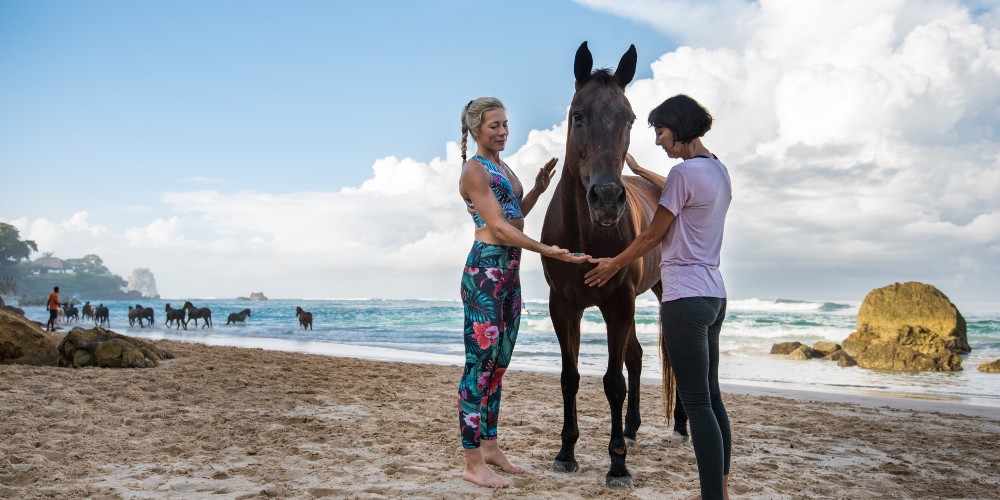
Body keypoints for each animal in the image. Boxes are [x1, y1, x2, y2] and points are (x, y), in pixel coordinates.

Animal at [540, 41, 664, 490]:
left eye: (629, 118)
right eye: (578, 115)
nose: (608, 199)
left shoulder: (618, 304)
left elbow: (613, 383)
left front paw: (618, 466)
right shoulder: (564, 306)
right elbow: (570, 378)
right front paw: (565, 453)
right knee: (637, 356)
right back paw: (630, 428)